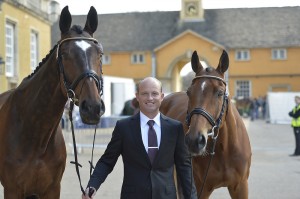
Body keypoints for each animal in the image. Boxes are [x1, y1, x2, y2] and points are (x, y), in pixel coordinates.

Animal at [161, 50, 252, 198]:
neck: (224, 149)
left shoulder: (240, 187)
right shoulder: (201, 188)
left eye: (220, 93)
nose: (194, 140)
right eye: (189, 92)